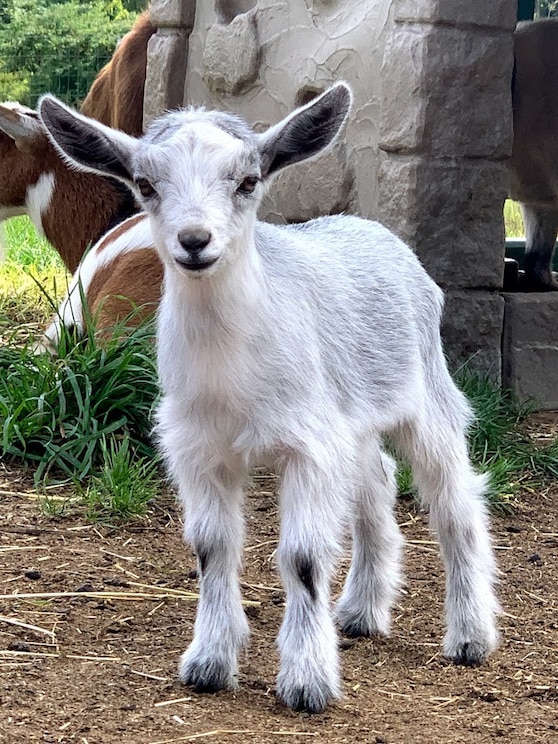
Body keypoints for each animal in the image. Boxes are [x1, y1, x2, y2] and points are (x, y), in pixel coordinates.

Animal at [39, 84, 500, 714]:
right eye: (146, 184)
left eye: (248, 180)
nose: (195, 242)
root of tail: (371, 228)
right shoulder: (198, 448)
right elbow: (212, 548)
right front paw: (208, 663)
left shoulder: (307, 447)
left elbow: (302, 558)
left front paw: (307, 682)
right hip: (349, 418)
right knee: (376, 479)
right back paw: (361, 611)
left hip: (426, 395)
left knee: (455, 501)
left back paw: (471, 636)